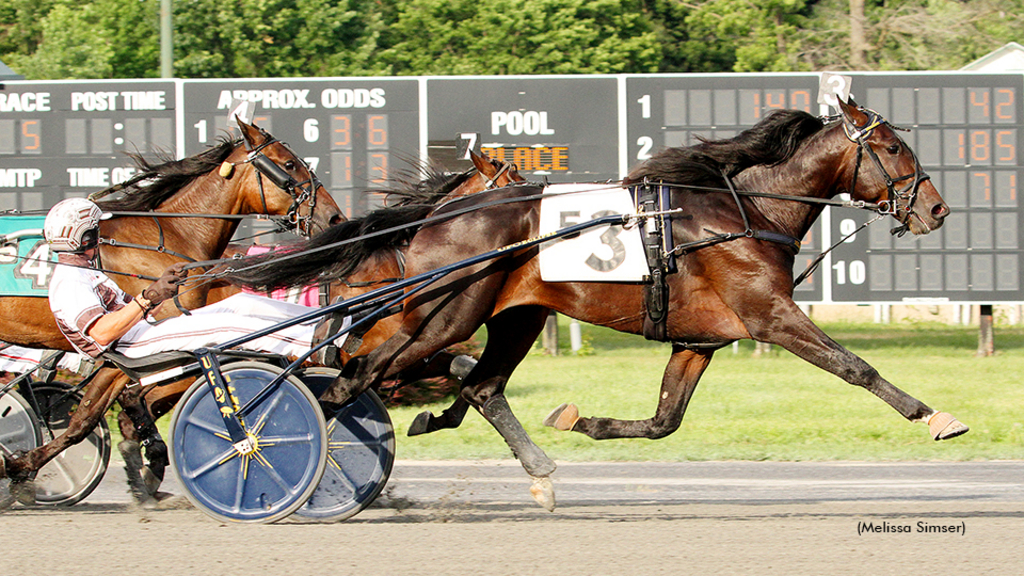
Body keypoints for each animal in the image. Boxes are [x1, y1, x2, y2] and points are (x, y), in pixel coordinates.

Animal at [0, 119, 344, 498]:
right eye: (289, 164)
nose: (333, 217)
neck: (170, 235)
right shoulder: (134, 343)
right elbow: (99, 411)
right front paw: (23, 467)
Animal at [226, 98, 966, 506]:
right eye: (893, 146)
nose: (937, 208)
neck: (744, 211)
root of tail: (443, 214)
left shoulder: (699, 339)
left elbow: (664, 420)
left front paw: (582, 420)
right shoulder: (770, 317)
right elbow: (855, 366)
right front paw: (935, 416)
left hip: (513, 317)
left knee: (476, 383)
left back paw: (526, 463)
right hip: (444, 314)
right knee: (353, 375)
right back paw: (267, 446)